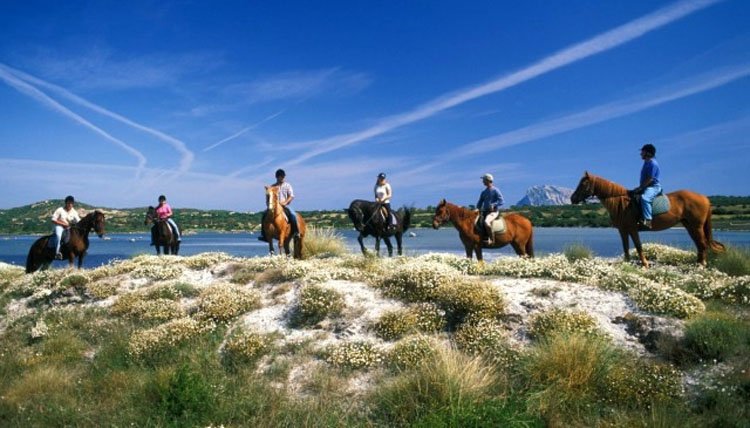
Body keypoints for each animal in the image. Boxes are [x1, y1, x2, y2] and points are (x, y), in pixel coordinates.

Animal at [572, 171, 724, 268]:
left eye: (583, 184)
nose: (572, 199)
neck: (620, 203)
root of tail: (704, 198)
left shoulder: (632, 229)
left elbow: (638, 246)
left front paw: (645, 264)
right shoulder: (623, 230)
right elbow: (625, 247)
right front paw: (626, 263)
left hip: (696, 226)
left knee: (702, 244)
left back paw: (701, 266)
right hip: (690, 226)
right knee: (699, 244)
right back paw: (697, 264)